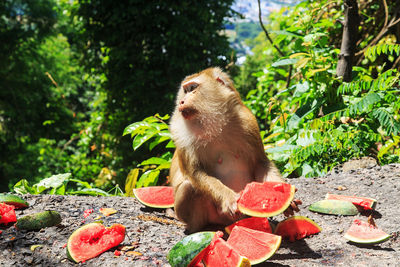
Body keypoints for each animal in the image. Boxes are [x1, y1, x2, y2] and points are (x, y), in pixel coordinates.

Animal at [169, 67, 300, 232]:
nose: (181, 101)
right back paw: (199, 228)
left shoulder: (248, 122)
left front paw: (282, 194)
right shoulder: (181, 136)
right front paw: (229, 198)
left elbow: (260, 163)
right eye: (184, 91)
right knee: (188, 187)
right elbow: (195, 172)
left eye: (192, 88)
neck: (217, 124)